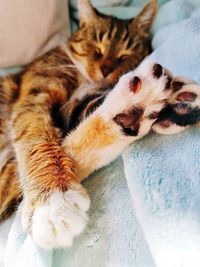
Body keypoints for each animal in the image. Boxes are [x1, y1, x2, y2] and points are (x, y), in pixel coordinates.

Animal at [0, 0, 164, 250]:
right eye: (96, 47)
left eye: (125, 54)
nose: (106, 69)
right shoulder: (33, 99)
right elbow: (38, 140)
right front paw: (52, 202)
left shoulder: (71, 111)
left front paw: (129, 109)